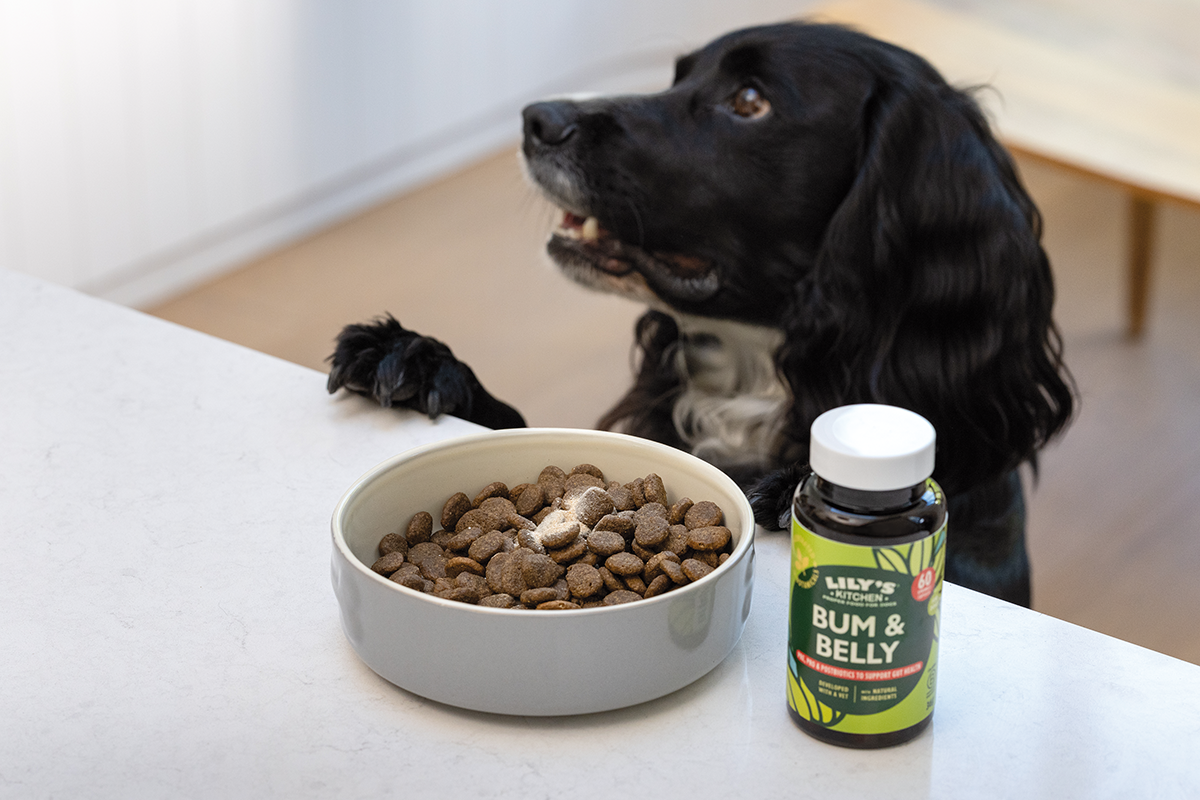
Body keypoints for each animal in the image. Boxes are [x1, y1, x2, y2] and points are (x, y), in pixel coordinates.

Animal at [326, 21, 1075, 607]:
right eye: (678, 76)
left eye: (749, 100)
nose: (537, 119)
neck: (757, 386)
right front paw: (416, 359)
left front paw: (794, 490)